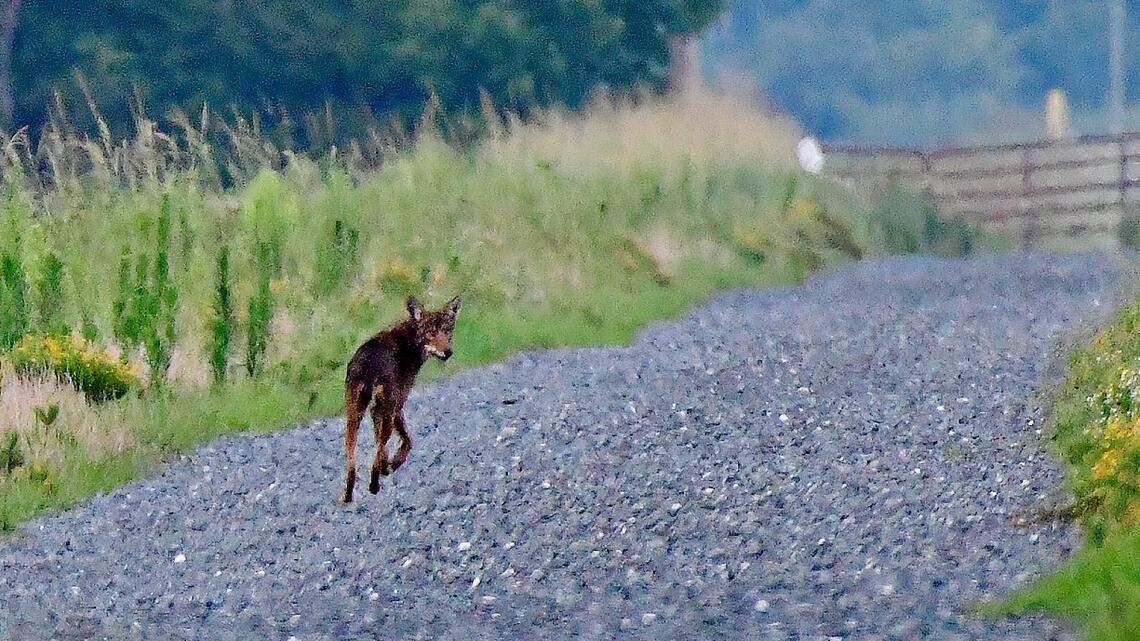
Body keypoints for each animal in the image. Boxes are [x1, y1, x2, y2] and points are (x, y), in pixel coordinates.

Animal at [342, 296, 461, 503]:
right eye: (431, 333)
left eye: (447, 331)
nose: (448, 352)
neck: (410, 342)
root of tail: (368, 365)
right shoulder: (396, 405)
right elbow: (407, 441)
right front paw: (392, 464)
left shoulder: (376, 410)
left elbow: (382, 447)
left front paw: (386, 464)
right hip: (386, 412)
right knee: (378, 451)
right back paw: (374, 486)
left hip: (354, 415)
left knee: (352, 458)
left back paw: (348, 496)